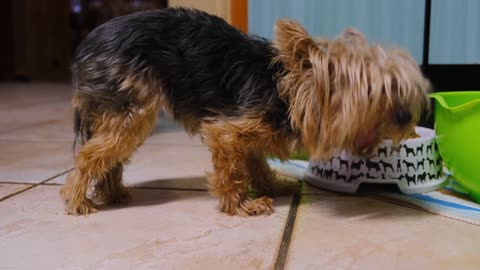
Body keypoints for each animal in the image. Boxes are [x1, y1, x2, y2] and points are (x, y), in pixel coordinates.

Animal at [61, 7, 432, 216]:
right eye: (374, 92)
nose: (406, 117)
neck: (286, 93)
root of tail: (84, 46)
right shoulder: (227, 131)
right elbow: (230, 169)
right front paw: (241, 205)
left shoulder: (252, 132)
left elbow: (255, 161)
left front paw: (273, 186)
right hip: (131, 108)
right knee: (91, 155)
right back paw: (77, 200)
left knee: (109, 154)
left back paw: (113, 193)